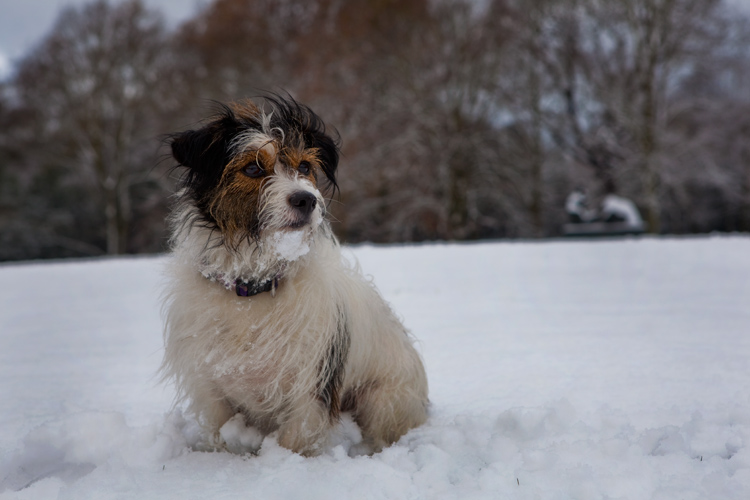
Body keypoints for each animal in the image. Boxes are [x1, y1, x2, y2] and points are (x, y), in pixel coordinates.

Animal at [160, 94, 428, 458]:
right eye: (253, 168)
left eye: (304, 167)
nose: (307, 199)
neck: (254, 286)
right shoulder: (211, 388)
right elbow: (221, 436)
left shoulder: (310, 387)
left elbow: (295, 441)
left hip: (383, 400)